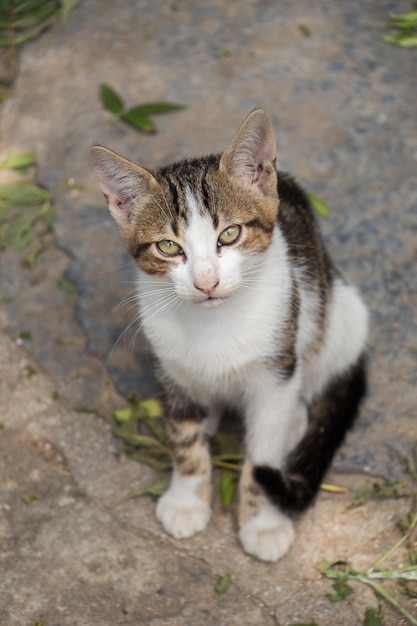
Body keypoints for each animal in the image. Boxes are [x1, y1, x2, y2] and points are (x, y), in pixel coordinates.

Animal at [91, 108, 368, 560]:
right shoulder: (171, 367)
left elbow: (263, 452)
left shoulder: (275, 370)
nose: (206, 282)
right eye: (169, 247)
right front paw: (186, 498)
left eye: (230, 234)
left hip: (339, 314)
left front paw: (263, 522)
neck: (216, 323)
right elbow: (183, 437)